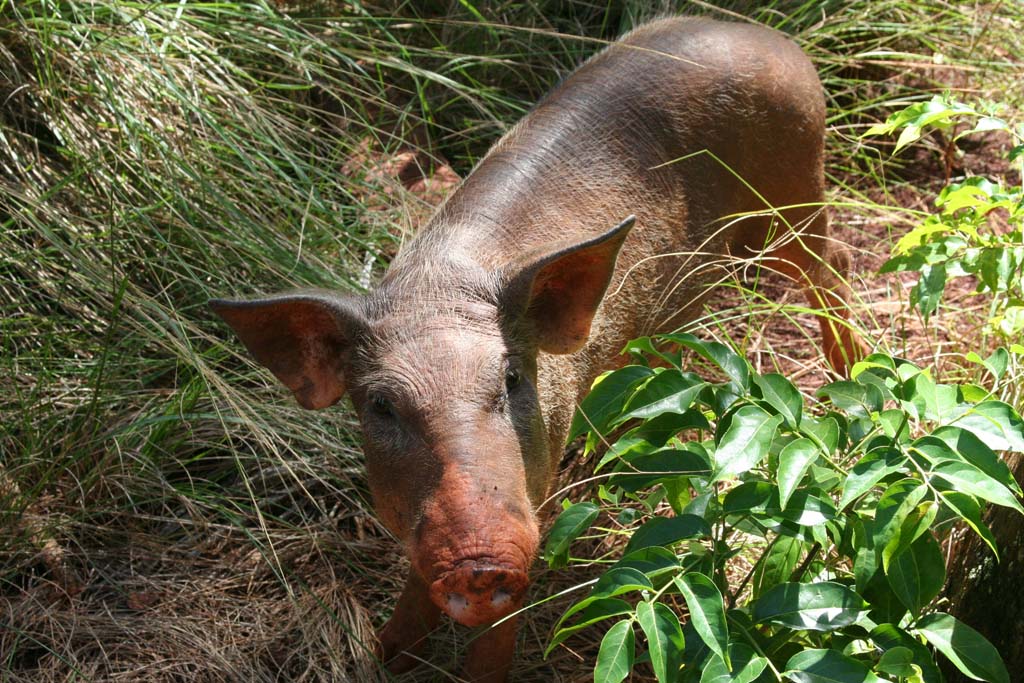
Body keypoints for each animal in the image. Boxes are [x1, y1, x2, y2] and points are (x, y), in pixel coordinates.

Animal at [210, 16, 865, 682]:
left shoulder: (542, 462)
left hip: (793, 190)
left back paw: (850, 370)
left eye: (511, 379)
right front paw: (384, 655)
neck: (440, 282)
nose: (478, 563)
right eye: (380, 407)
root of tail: (762, 34)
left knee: (832, 263)